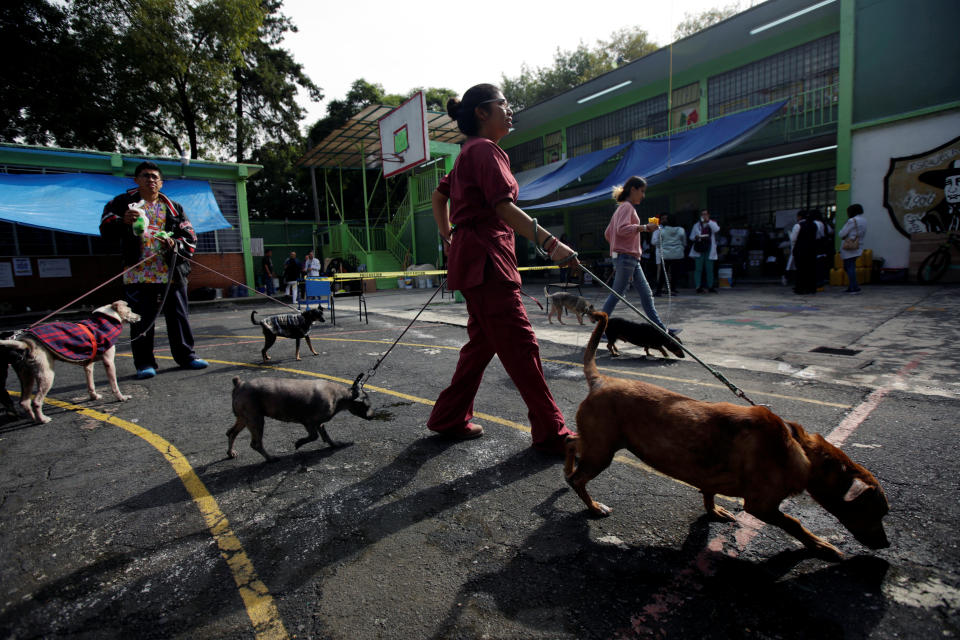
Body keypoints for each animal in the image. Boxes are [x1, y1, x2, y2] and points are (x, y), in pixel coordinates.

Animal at [0, 302, 141, 424]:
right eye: (129, 310)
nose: (140, 316)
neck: (107, 319)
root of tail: (26, 343)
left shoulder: (88, 365)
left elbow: (91, 384)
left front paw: (94, 396)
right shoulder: (109, 362)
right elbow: (114, 385)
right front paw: (121, 398)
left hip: (26, 376)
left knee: (24, 402)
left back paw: (35, 419)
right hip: (46, 374)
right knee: (36, 401)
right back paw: (43, 419)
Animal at [228, 376, 376, 460]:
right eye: (367, 405)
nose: (373, 416)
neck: (342, 396)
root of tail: (239, 384)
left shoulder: (319, 423)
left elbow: (325, 435)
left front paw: (334, 444)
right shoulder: (309, 422)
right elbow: (314, 436)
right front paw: (298, 443)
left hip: (244, 418)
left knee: (231, 433)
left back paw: (230, 453)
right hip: (255, 419)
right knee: (256, 443)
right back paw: (270, 458)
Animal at [564, 310, 892, 560]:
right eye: (875, 511)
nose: (887, 544)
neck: (797, 448)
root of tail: (600, 380)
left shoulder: (711, 474)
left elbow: (709, 492)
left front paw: (713, 510)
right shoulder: (761, 505)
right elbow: (794, 523)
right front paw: (820, 544)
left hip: (598, 442)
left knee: (571, 441)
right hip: (602, 451)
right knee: (578, 479)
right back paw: (592, 505)